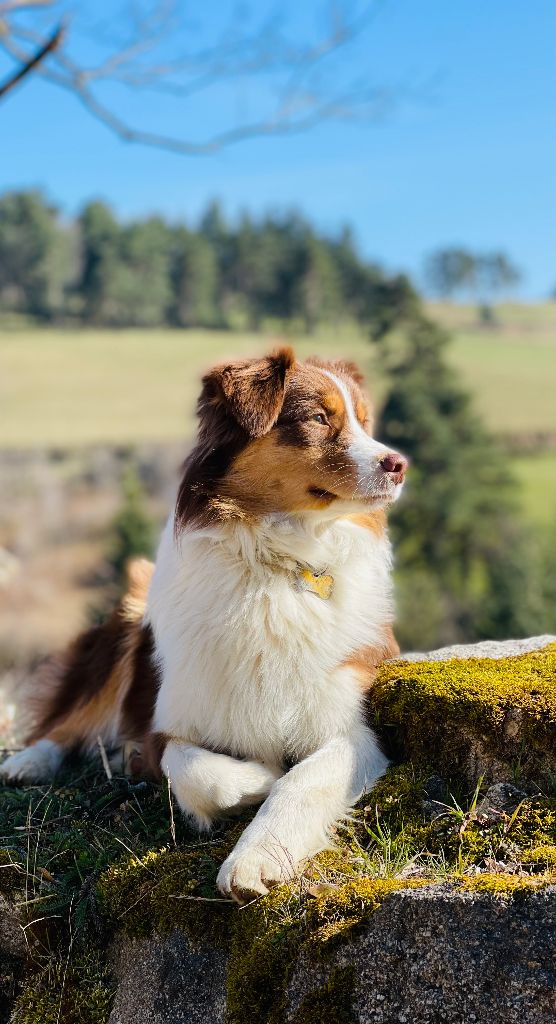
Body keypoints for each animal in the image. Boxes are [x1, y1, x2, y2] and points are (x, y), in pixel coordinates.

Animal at [1, 350, 409, 905]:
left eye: (365, 422)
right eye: (318, 418)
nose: (399, 465)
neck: (274, 564)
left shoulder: (353, 729)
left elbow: (302, 782)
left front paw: (255, 858)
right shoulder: (166, 723)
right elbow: (193, 767)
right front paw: (257, 779)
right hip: (127, 619)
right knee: (67, 723)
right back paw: (27, 763)